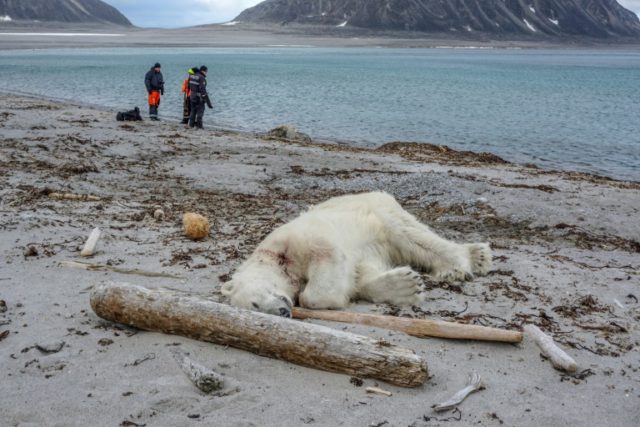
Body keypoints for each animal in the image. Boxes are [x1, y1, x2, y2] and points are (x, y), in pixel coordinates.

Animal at [221, 192, 492, 317]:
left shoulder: (297, 239)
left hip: (379, 211)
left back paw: (466, 261)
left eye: (255, 303)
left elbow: (325, 262)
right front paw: (405, 286)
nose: (283, 312)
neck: (275, 258)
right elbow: (360, 275)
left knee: (410, 235)